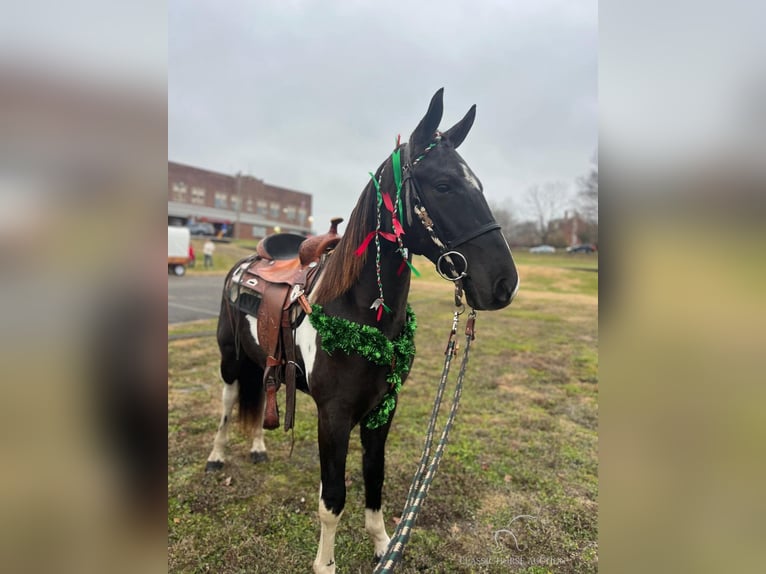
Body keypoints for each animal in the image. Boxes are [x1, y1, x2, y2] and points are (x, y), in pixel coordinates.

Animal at [204, 90, 520, 574]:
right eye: (444, 185)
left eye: (479, 185)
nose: (504, 283)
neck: (358, 315)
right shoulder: (333, 417)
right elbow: (332, 499)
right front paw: (326, 565)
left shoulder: (382, 408)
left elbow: (374, 478)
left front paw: (382, 545)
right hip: (229, 358)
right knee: (227, 403)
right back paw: (217, 456)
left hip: (265, 363)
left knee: (262, 393)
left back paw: (257, 447)